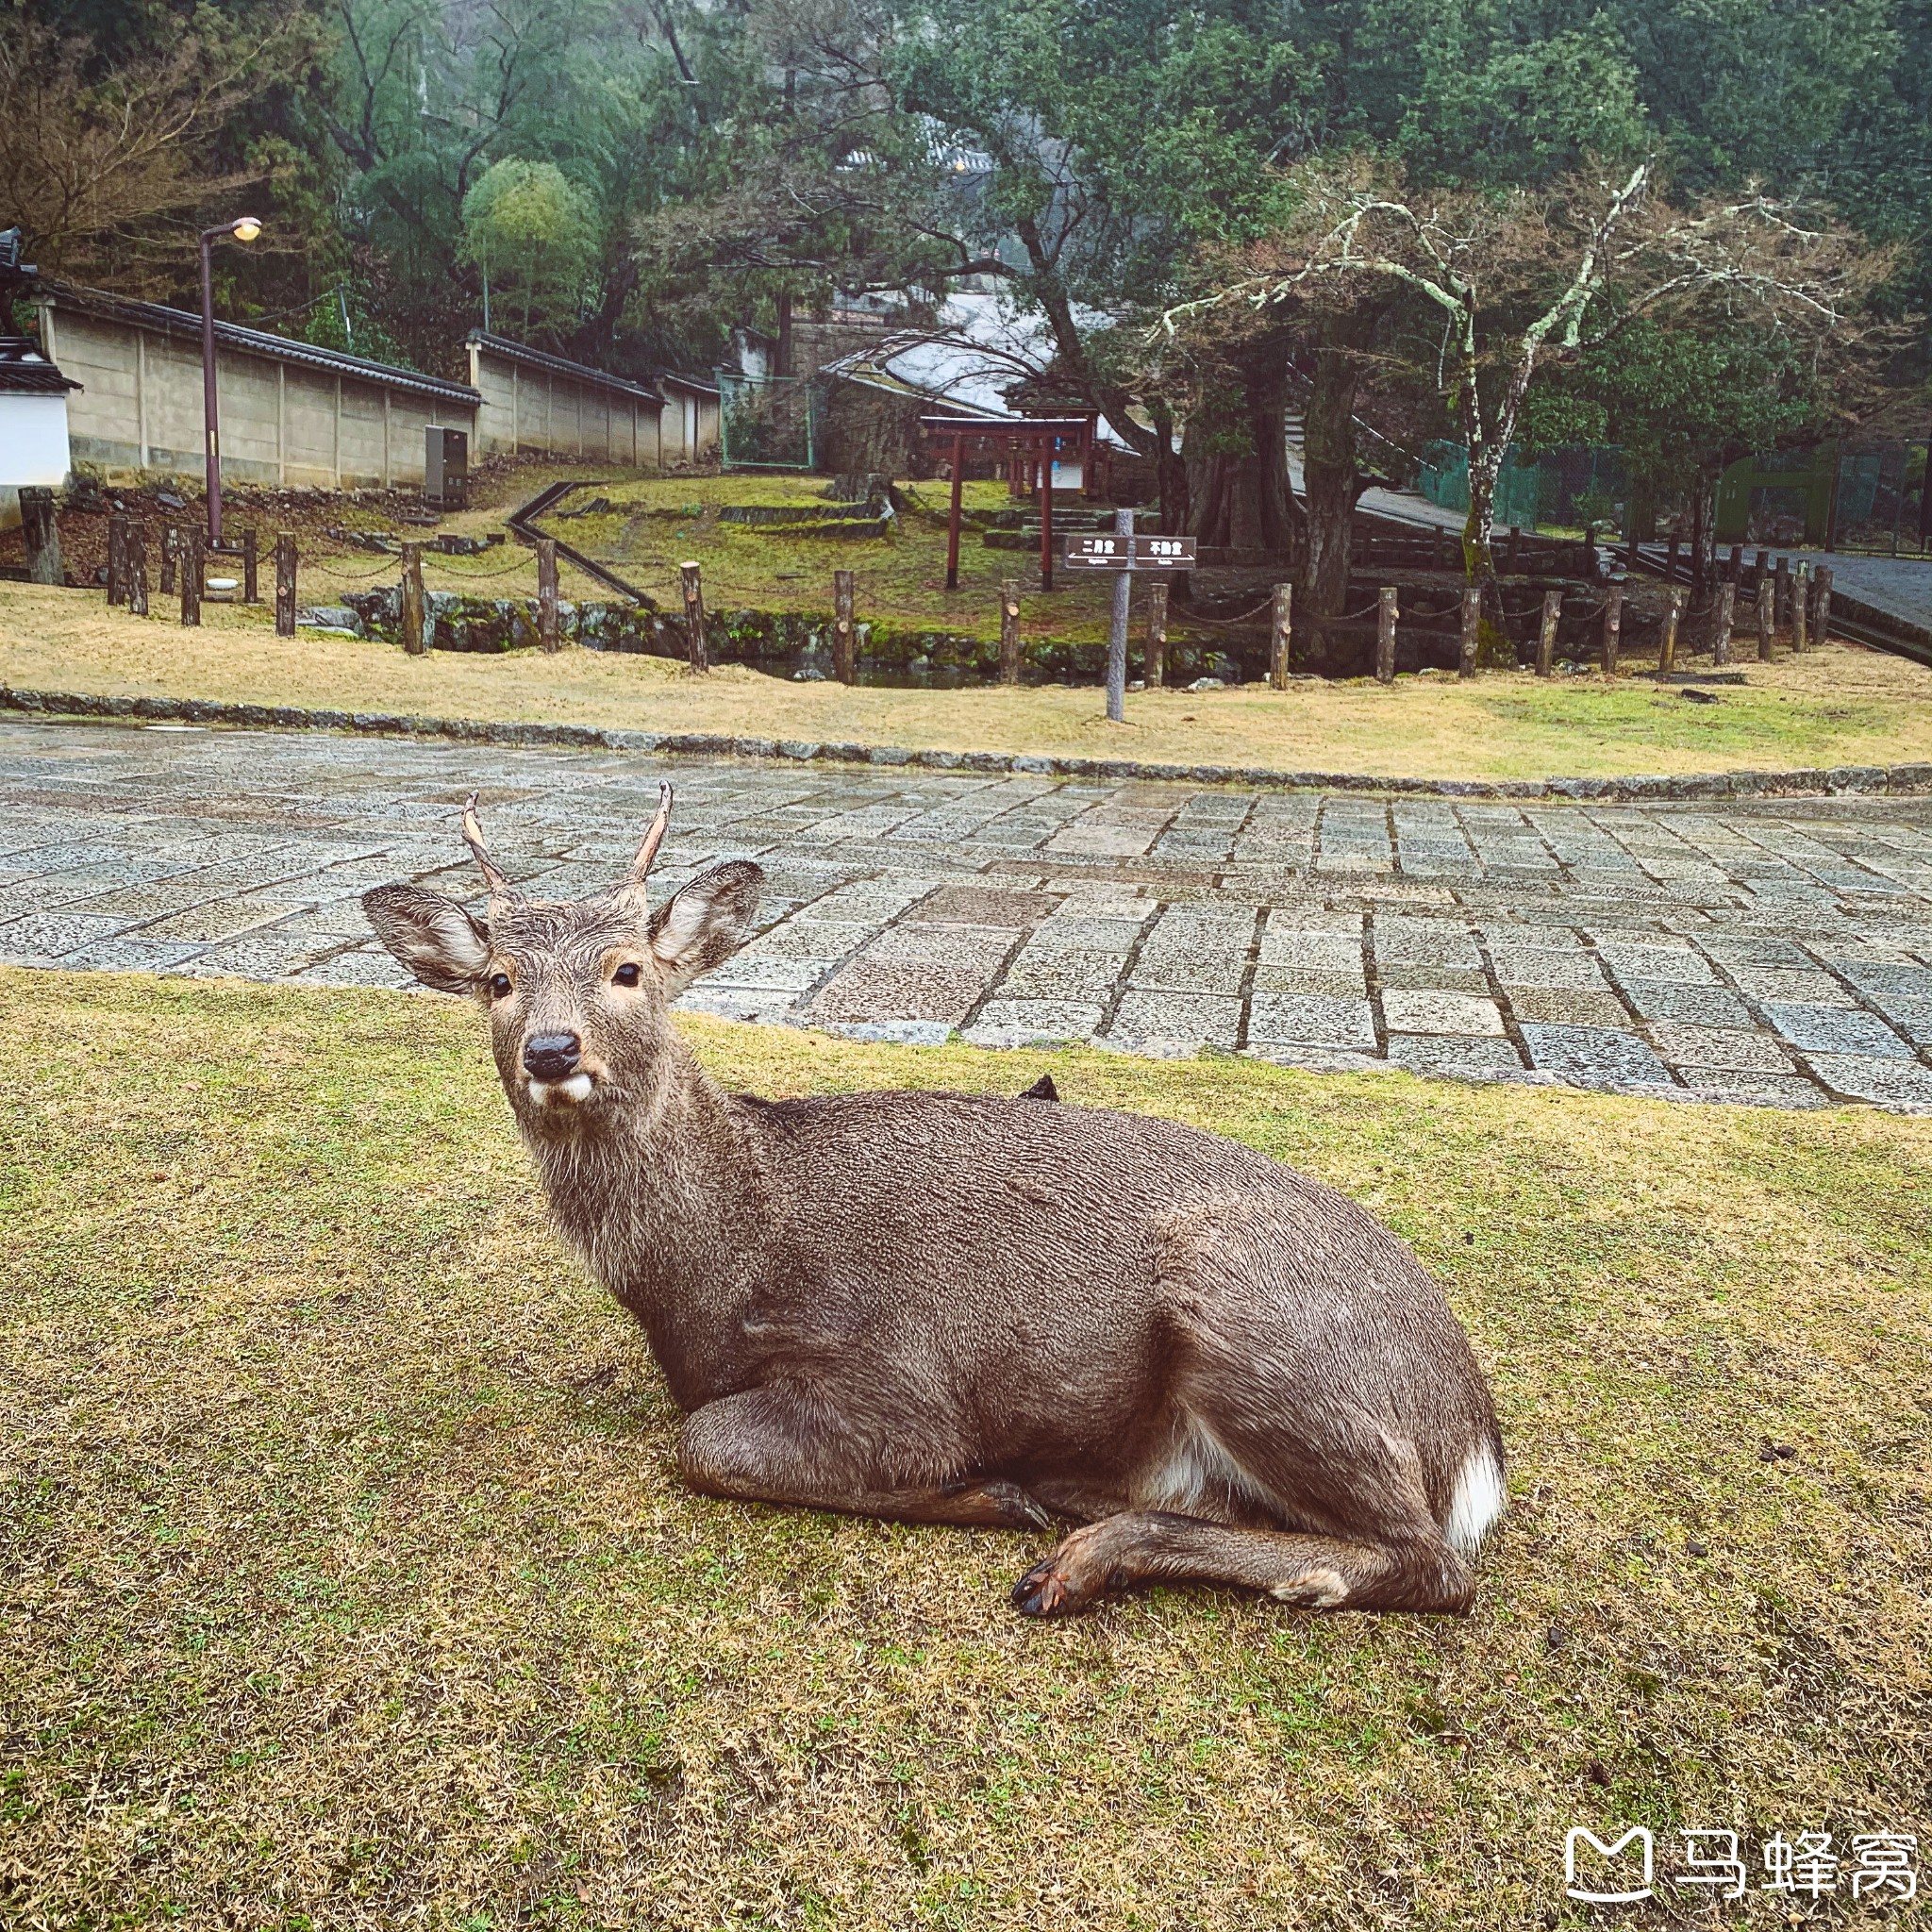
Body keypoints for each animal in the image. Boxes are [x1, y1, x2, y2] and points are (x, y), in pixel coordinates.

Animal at [363, 784, 1507, 1615]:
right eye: (498, 982)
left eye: (629, 967)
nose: (554, 1049)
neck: (718, 1263)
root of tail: (1473, 1442)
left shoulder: (893, 1378)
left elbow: (709, 1445)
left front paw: (991, 1490)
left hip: (1253, 1319)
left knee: (1428, 1566)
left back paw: (1078, 1555)